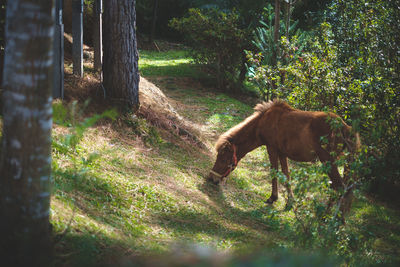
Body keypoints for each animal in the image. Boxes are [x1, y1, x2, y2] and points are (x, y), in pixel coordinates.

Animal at [206, 100, 360, 209]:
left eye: (223, 159)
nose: (211, 178)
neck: (263, 122)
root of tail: (345, 128)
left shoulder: (272, 149)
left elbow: (274, 172)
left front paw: (273, 198)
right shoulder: (282, 153)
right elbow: (286, 175)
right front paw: (290, 201)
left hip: (328, 161)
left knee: (339, 187)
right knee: (340, 188)